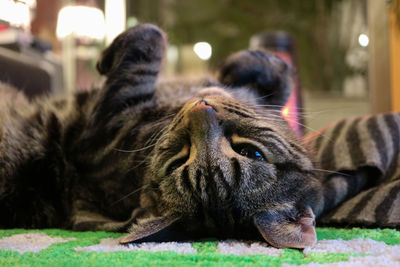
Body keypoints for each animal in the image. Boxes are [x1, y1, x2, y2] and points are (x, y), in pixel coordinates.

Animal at [0, 24, 350, 250]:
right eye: (181, 158)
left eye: (252, 154)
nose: (201, 109)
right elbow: (280, 77)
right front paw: (243, 66)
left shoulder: (99, 132)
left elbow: (149, 42)